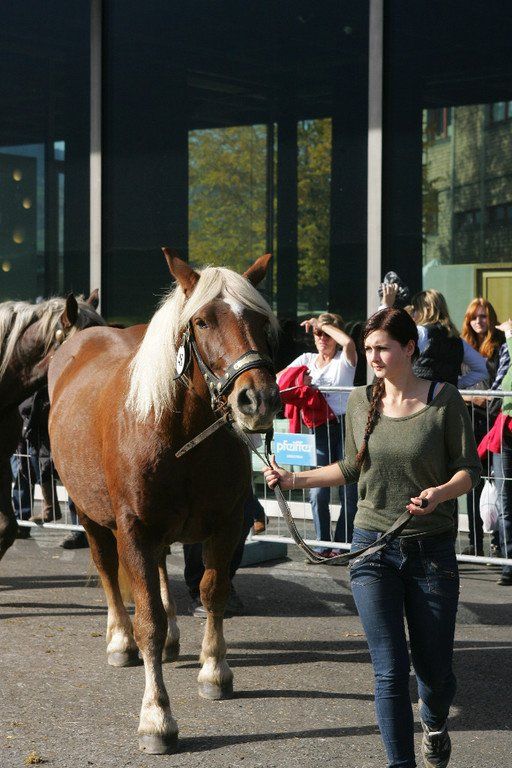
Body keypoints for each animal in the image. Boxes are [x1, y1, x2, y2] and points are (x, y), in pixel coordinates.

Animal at [47, 250, 281, 754]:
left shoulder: (225, 524)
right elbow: (148, 619)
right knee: (107, 569)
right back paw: (120, 640)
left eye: (260, 319)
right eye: (203, 321)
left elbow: (212, 592)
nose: (258, 399)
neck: (182, 434)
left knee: (157, 569)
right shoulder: (133, 528)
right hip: (89, 513)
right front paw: (156, 717)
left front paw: (215, 671)